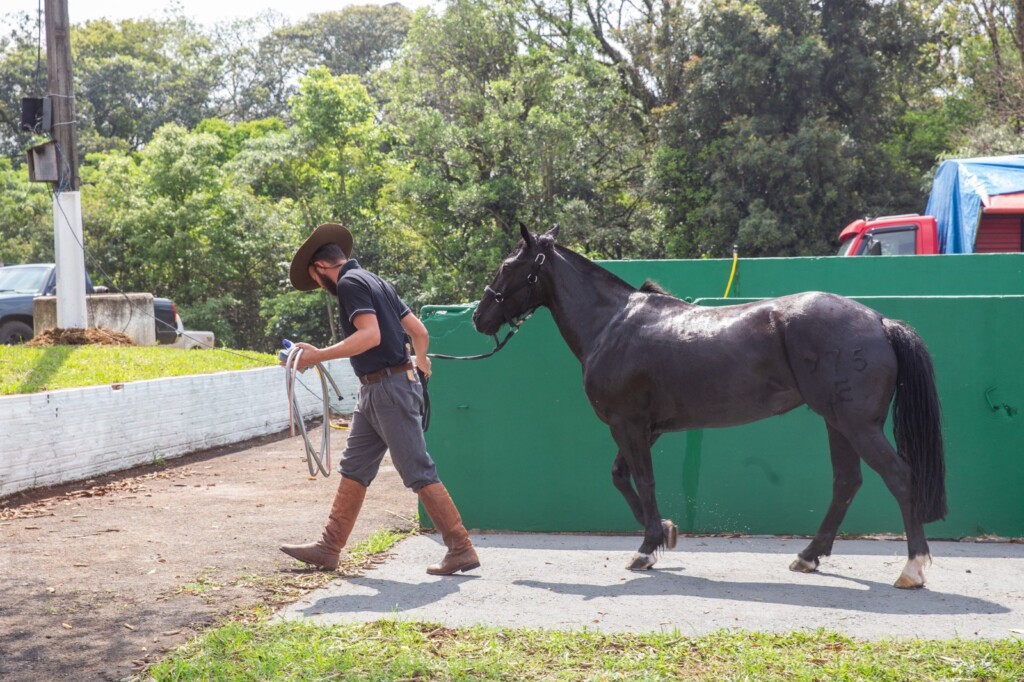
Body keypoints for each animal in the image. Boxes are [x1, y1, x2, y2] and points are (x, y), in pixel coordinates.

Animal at [471, 225, 942, 585]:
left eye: (509, 266)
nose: (479, 317)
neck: (612, 325)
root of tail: (879, 321)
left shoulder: (628, 424)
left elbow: (644, 481)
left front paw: (648, 547)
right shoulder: (647, 429)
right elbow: (622, 478)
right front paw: (665, 531)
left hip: (856, 424)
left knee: (899, 476)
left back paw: (912, 568)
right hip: (837, 422)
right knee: (846, 483)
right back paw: (808, 556)